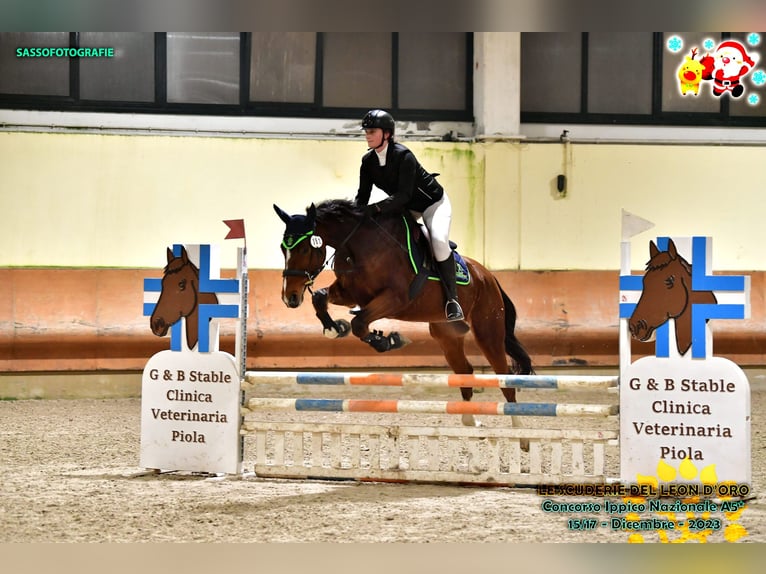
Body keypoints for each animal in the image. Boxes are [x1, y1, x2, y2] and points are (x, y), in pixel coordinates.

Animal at [274, 200, 536, 430]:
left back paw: (518, 430)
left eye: (305, 248)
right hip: (447, 335)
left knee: (505, 377)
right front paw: (334, 328)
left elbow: (359, 323)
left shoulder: (395, 299)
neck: (358, 246)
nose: (290, 298)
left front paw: (388, 340)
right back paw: (469, 420)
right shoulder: (350, 293)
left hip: (487, 332)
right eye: (282, 248)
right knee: (466, 372)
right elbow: (320, 298)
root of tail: (488, 277)